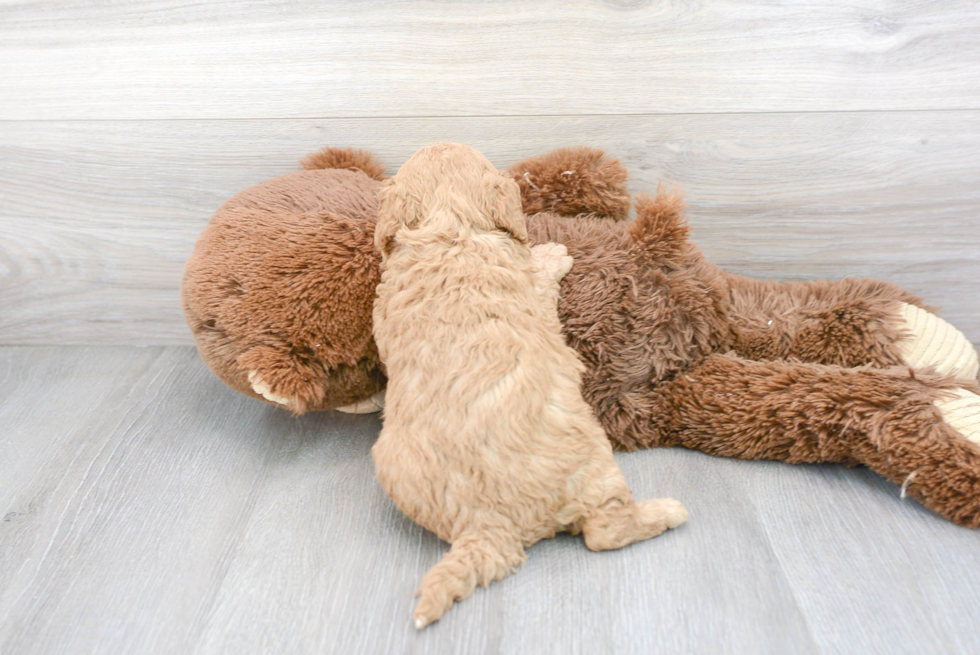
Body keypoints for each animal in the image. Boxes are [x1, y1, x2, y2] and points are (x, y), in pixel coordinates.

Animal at [372, 144, 684, 632]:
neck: (451, 229)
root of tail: (488, 522)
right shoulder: (531, 289)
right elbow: (540, 273)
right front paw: (555, 252)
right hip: (594, 462)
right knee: (605, 532)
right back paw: (667, 512)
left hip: (392, 467)